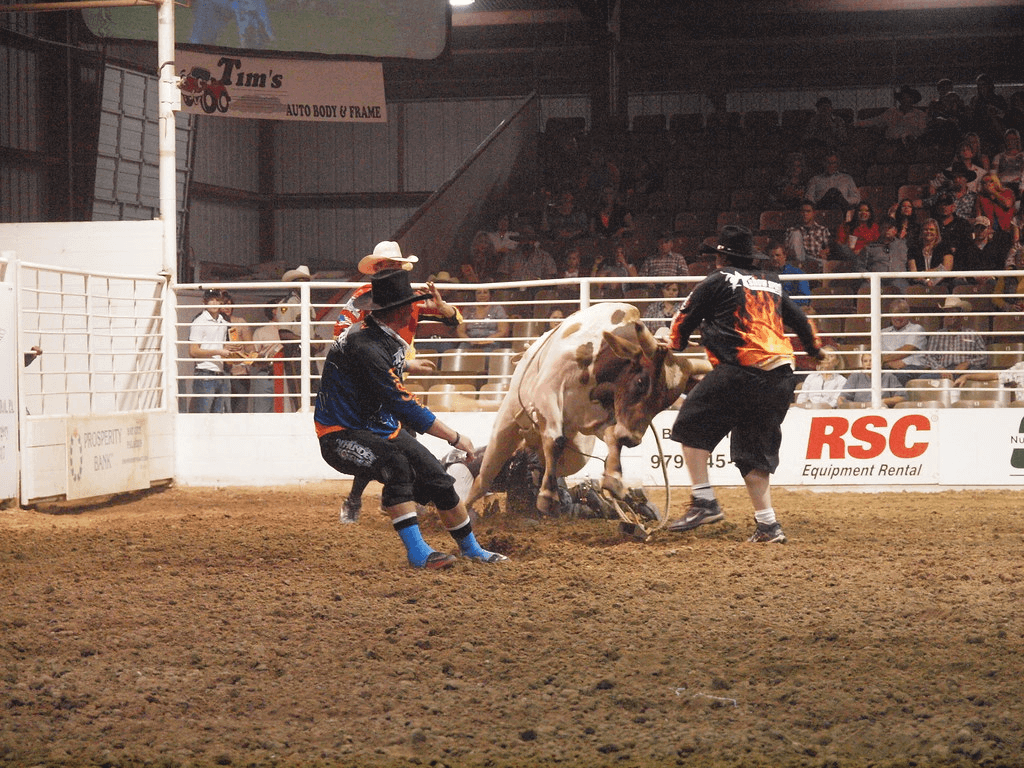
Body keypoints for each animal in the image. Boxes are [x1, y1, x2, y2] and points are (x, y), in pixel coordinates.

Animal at [468, 303, 708, 514]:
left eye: (666, 402)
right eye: (641, 382)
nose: (633, 438)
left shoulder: (604, 419)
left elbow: (613, 439)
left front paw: (614, 480)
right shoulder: (547, 392)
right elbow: (555, 440)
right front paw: (548, 497)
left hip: (576, 453)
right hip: (505, 427)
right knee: (484, 478)